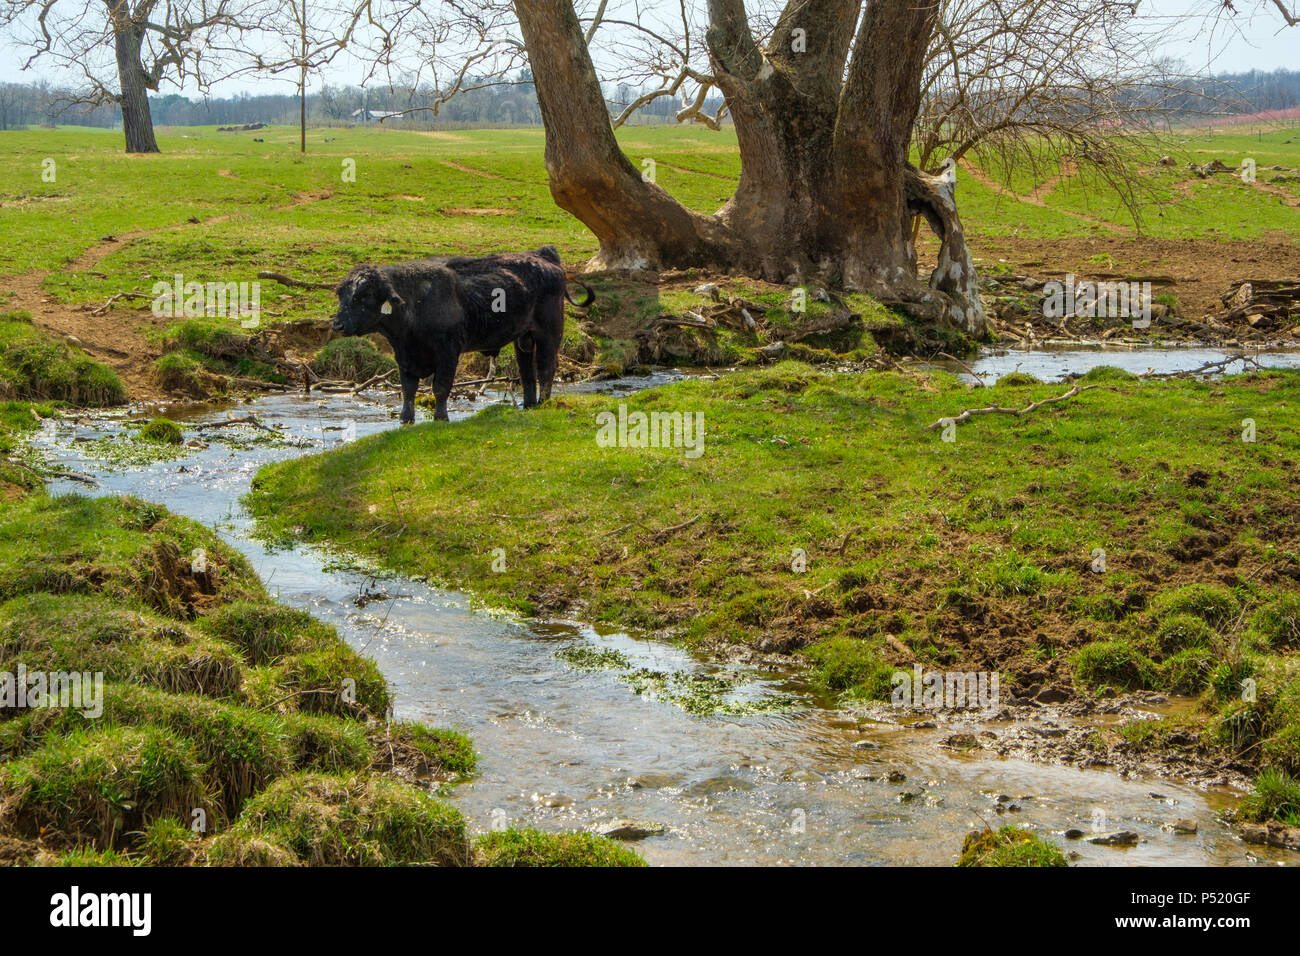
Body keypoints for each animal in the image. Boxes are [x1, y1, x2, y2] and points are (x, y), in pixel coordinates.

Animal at [335, 248, 598, 424]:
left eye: (363, 295)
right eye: (341, 294)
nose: (337, 324)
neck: (416, 301)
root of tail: (544, 256)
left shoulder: (448, 353)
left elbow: (440, 388)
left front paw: (441, 418)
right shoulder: (405, 357)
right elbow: (408, 390)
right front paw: (405, 419)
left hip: (549, 334)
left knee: (545, 369)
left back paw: (543, 403)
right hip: (523, 339)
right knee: (527, 373)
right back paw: (529, 404)